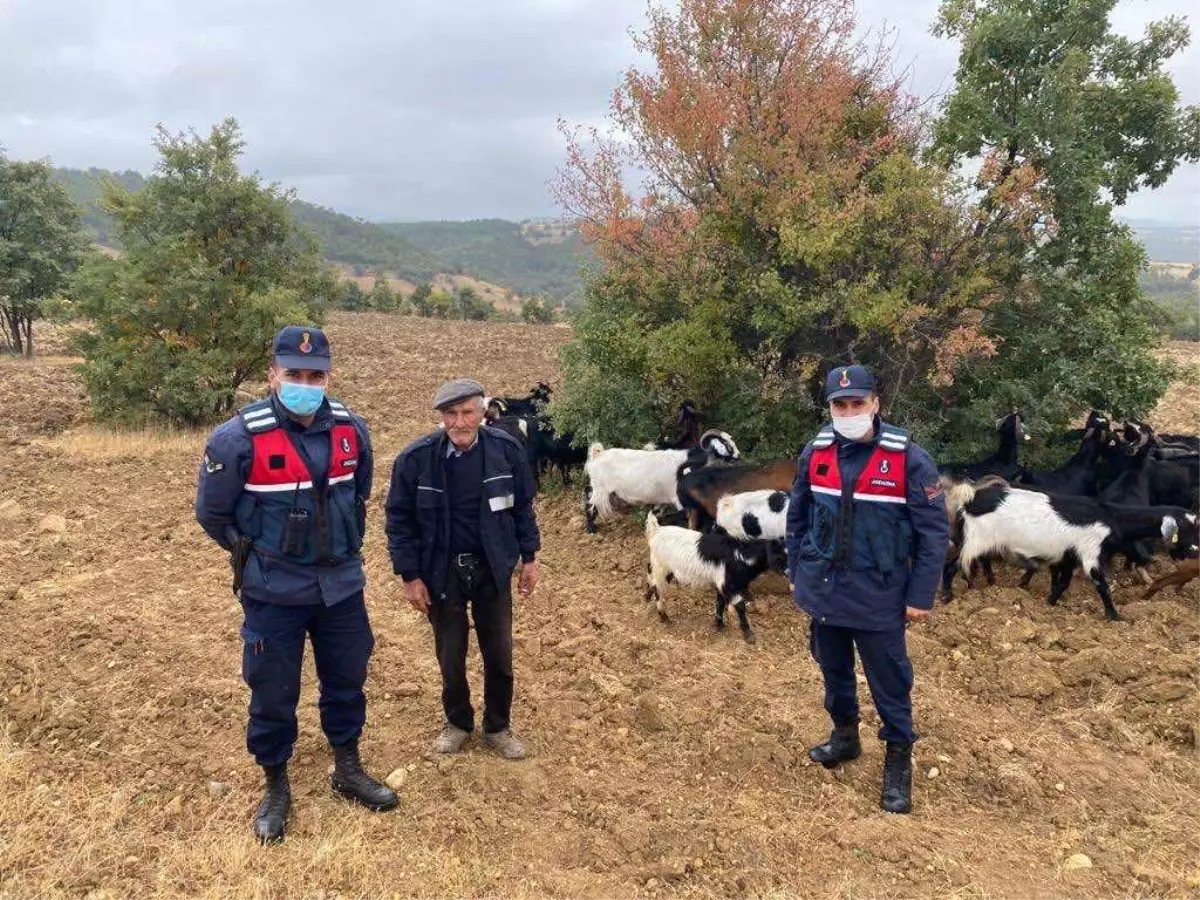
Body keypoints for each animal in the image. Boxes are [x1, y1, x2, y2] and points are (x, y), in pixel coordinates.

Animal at [643, 513, 772, 643]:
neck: (741, 557)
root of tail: (657, 530)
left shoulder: (722, 583)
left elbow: (720, 602)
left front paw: (720, 624)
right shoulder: (728, 584)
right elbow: (739, 605)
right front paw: (748, 634)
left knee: (651, 572)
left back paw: (647, 596)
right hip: (662, 567)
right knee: (658, 588)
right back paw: (664, 616)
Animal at [945, 480, 1200, 619]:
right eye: (1187, 527)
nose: (1195, 552)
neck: (1110, 517)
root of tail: (970, 499)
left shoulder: (1069, 557)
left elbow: (1063, 583)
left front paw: (1049, 603)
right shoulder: (1090, 552)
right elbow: (1101, 585)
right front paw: (1115, 617)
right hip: (975, 541)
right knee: (951, 566)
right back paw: (948, 597)